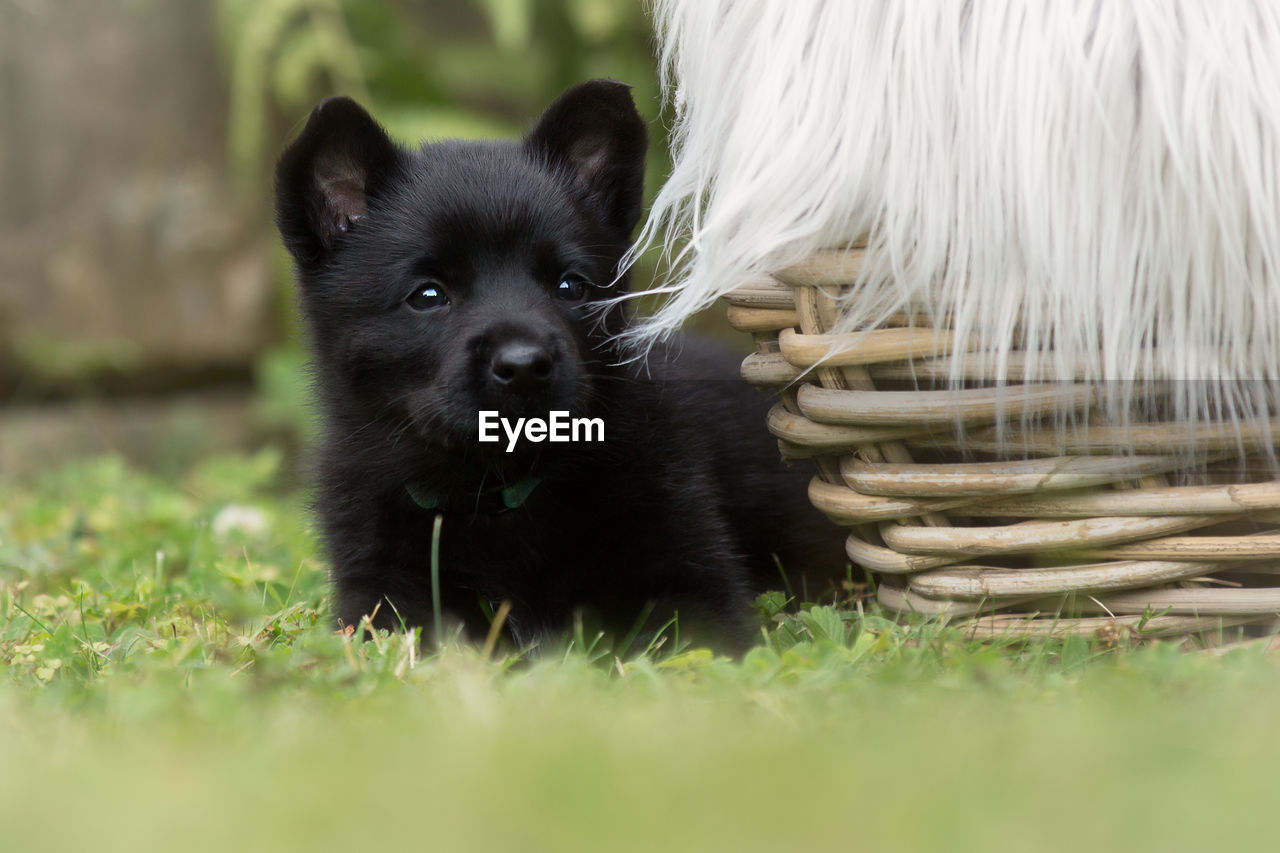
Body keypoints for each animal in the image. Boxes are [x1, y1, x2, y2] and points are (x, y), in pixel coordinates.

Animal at [275, 81, 844, 650]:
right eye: (428, 295)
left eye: (571, 286)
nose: (525, 366)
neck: (498, 493)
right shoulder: (380, 599)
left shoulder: (694, 582)